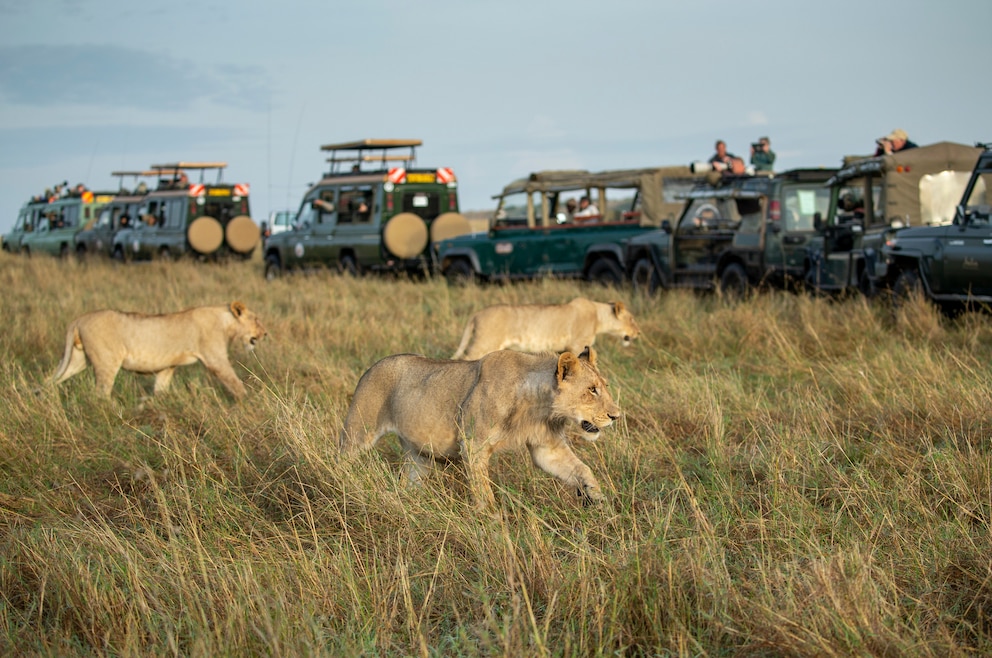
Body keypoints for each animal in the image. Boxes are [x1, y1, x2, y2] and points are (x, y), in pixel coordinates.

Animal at [49, 300, 268, 398]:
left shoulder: (168, 367)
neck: (225, 321)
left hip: (77, 360)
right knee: (101, 394)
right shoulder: (216, 360)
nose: (265, 334)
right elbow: (235, 382)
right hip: (107, 362)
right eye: (256, 319)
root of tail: (79, 319)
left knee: (50, 379)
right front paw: (249, 400)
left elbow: (160, 388)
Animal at [340, 344, 620, 508]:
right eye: (592, 390)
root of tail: (372, 366)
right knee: (342, 458)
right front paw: (494, 527)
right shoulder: (473, 445)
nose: (616, 416)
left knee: (408, 483)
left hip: (418, 456)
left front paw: (599, 500)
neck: (538, 405)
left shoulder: (547, 448)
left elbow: (582, 469)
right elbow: (484, 494)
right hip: (358, 432)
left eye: (604, 386)